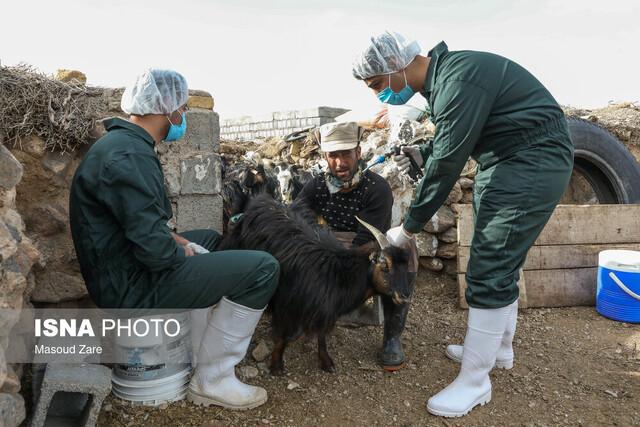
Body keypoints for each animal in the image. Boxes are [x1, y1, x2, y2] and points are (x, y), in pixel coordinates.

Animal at [219, 195, 410, 374]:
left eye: (406, 267)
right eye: (384, 265)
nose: (405, 295)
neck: (338, 274)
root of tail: (258, 201)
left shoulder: (323, 309)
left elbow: (322, 336)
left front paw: (326, 362)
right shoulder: (286, 304)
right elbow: (282, 337)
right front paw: (276, 365)